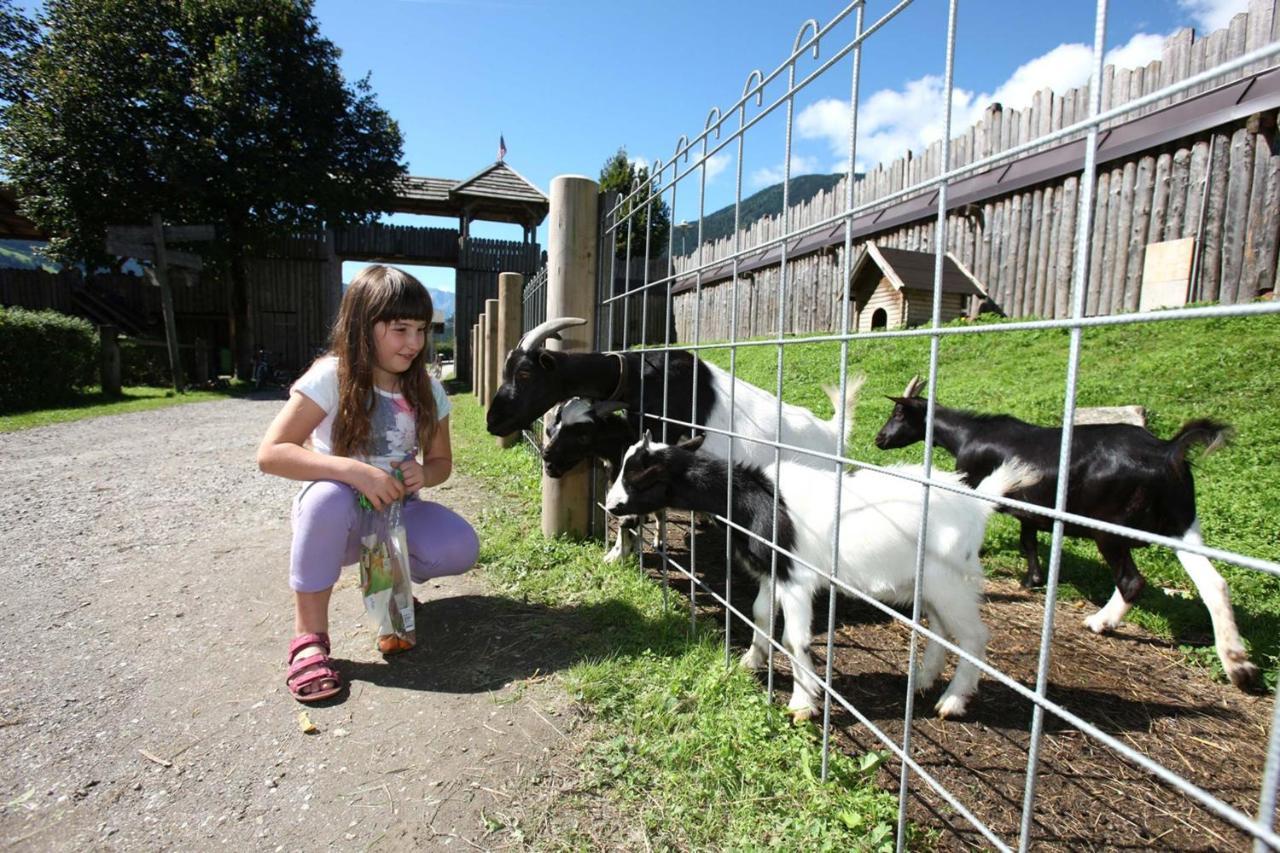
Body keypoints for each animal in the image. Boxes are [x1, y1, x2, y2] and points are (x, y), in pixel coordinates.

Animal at [604, 432, 1034, 717]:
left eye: (642, 477)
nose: (610, 506)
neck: (756, 499)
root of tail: (978, 504)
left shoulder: (796, 579)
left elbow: (794, 640)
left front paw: (802, 701)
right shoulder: (772, 571)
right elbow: (760, 615)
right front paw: (751, 661)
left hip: (951, 580)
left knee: (974, 636)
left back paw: (953, 701)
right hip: (929, 585)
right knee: (941, 629)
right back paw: (923, 681)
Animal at [870, 376, 1259, 686]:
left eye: (899, 413)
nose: (879, 439)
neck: (968, 436)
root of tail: (1168, 451)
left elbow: (1012, 538)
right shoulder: (1028, 510)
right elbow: (1028, 541)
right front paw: (1033, 579)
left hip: (1110, 529)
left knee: (1132, 580)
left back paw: (1101, 621)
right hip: (1181, 523)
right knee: (1214, 583)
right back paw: (1238, 664)